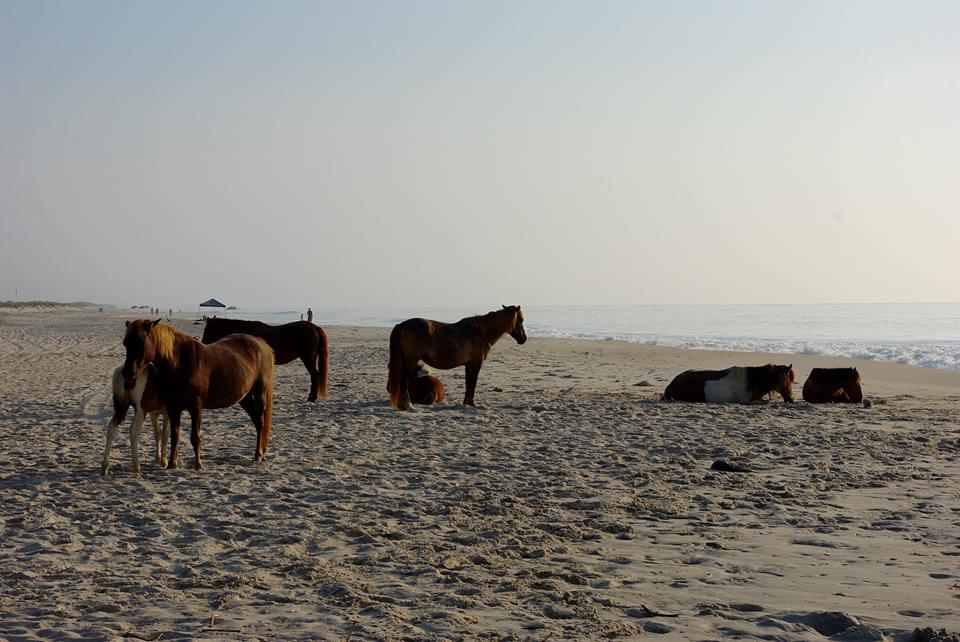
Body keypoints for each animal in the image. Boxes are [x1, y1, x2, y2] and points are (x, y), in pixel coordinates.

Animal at [122, 318, 276, 468]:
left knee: (260, 423)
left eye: (141, 342)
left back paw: (258, 455)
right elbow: (175, 435)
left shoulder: (196, 407)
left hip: (260, 392)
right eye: (125, 343)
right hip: (245, 398)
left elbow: (195, 437)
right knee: (256, 421)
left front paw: (198, 464)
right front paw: (172, 464)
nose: (128, 373)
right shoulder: (173, 408)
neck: (180, 363)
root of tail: (261, 344)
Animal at [386, 302, 528, 408]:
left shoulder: (468, 364)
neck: (481, 332)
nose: (523, 339)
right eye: (520, 320)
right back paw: (408, 405)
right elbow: (473, 382)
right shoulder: (477, 363)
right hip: (411, 361)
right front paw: (471, 403)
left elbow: (468, 383)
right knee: (404, 381)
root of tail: (402, 325)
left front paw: (467, 403)